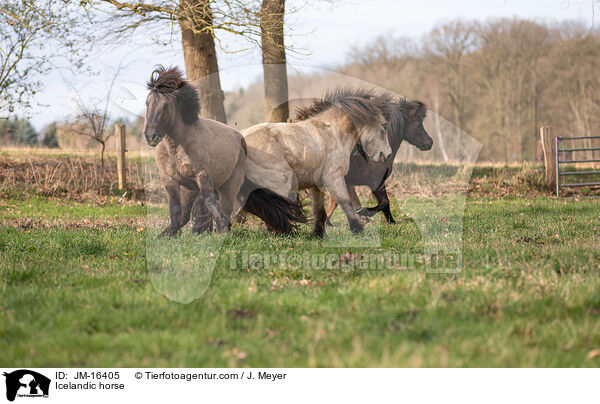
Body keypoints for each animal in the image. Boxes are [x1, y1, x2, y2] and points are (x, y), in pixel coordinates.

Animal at [142, 66, 304, 237]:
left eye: (165, 105)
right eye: (147, 104)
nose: (150, 136)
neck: (176, 148)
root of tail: (242, 140)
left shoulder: (203, 175)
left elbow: (210, 202)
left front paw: (222, 228)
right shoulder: (169, 180)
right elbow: (175, 209)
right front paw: (167, 236)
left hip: (229, 185)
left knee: (224, 209)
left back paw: (223, 230)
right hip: (189, 189)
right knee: (185, 215)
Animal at [244, 87, 394, 235]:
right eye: (384, 125)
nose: (387, 154)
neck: (332, 131)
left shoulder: (315, 184)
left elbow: (318, 209)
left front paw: (318, 234)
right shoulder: (334, 177)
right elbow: (345, 201)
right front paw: (357, 229)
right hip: (280, 184)